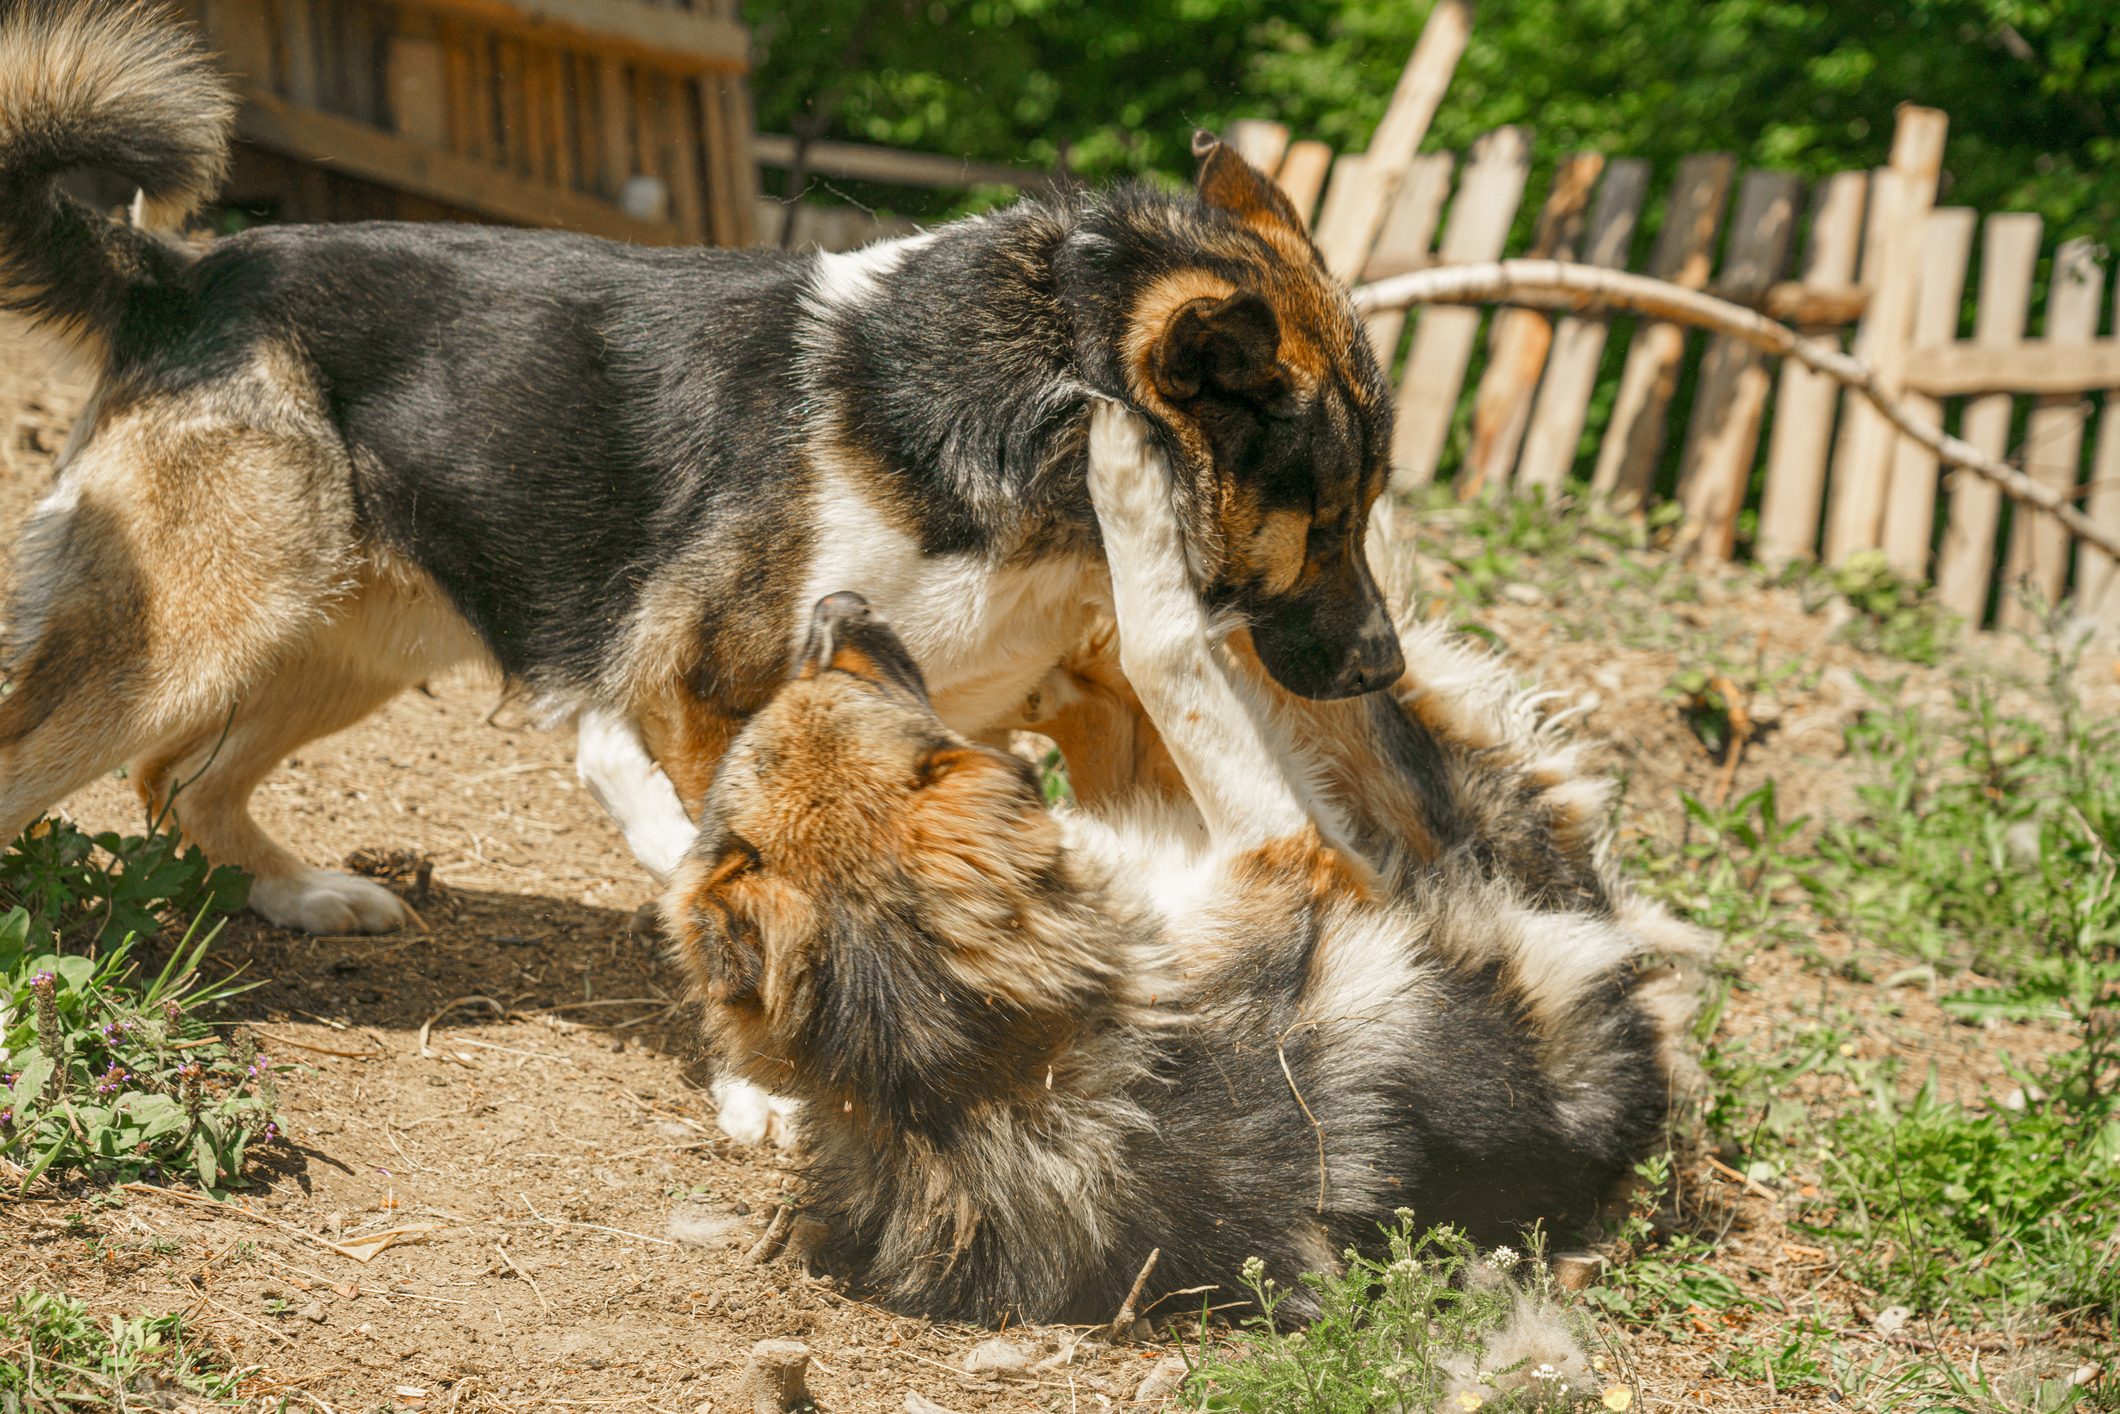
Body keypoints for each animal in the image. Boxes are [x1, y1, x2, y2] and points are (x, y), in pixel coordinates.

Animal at [0, 0, 1407, 941]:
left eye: (1369, 508)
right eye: (1327, 513)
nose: (1384, 673)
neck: (1026, 410)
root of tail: (182, 276)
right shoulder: (703, 696)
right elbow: (733, 861)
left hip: (345, 635)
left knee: (179, 780)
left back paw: (298, 893)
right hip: (203, 627)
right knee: (60, 762)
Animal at [661, 407, 1704, 1331]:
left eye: (813, 689)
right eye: (917, 743)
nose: (836, 606)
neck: (955, 1055)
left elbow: (1154, 684)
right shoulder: (1299, 849)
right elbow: (1170, 656)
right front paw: (1129, 478)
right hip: (1429, 817)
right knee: (1357, 701)